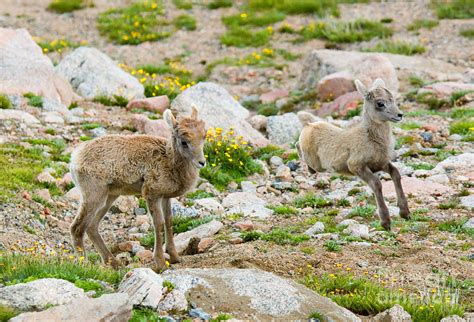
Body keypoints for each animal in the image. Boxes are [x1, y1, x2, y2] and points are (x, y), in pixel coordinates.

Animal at [69, 107, 206, 270]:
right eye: (184, 142)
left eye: (203, 137)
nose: (202, 162)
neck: (169, 161)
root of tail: (75, 158)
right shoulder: (152, 194)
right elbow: (159, 224)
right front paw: (160, 263)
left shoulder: (165, 197)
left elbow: (168, 221)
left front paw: (174, 258)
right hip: (94, 196)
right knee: (77, 228)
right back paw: (84, 265)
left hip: (108, 198)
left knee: (92, 227)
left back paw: (115, 263)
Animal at [298, 77, 410, 229]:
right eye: (380, 103)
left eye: (392, 99)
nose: (400, 115)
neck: (371, 138)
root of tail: (309, 125)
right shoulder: (356, 166)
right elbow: (377, 184)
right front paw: (386, 223)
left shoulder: (381, 164)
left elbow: (396, 174)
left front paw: (405, 213)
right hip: (317, 164)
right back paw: (310, 170)